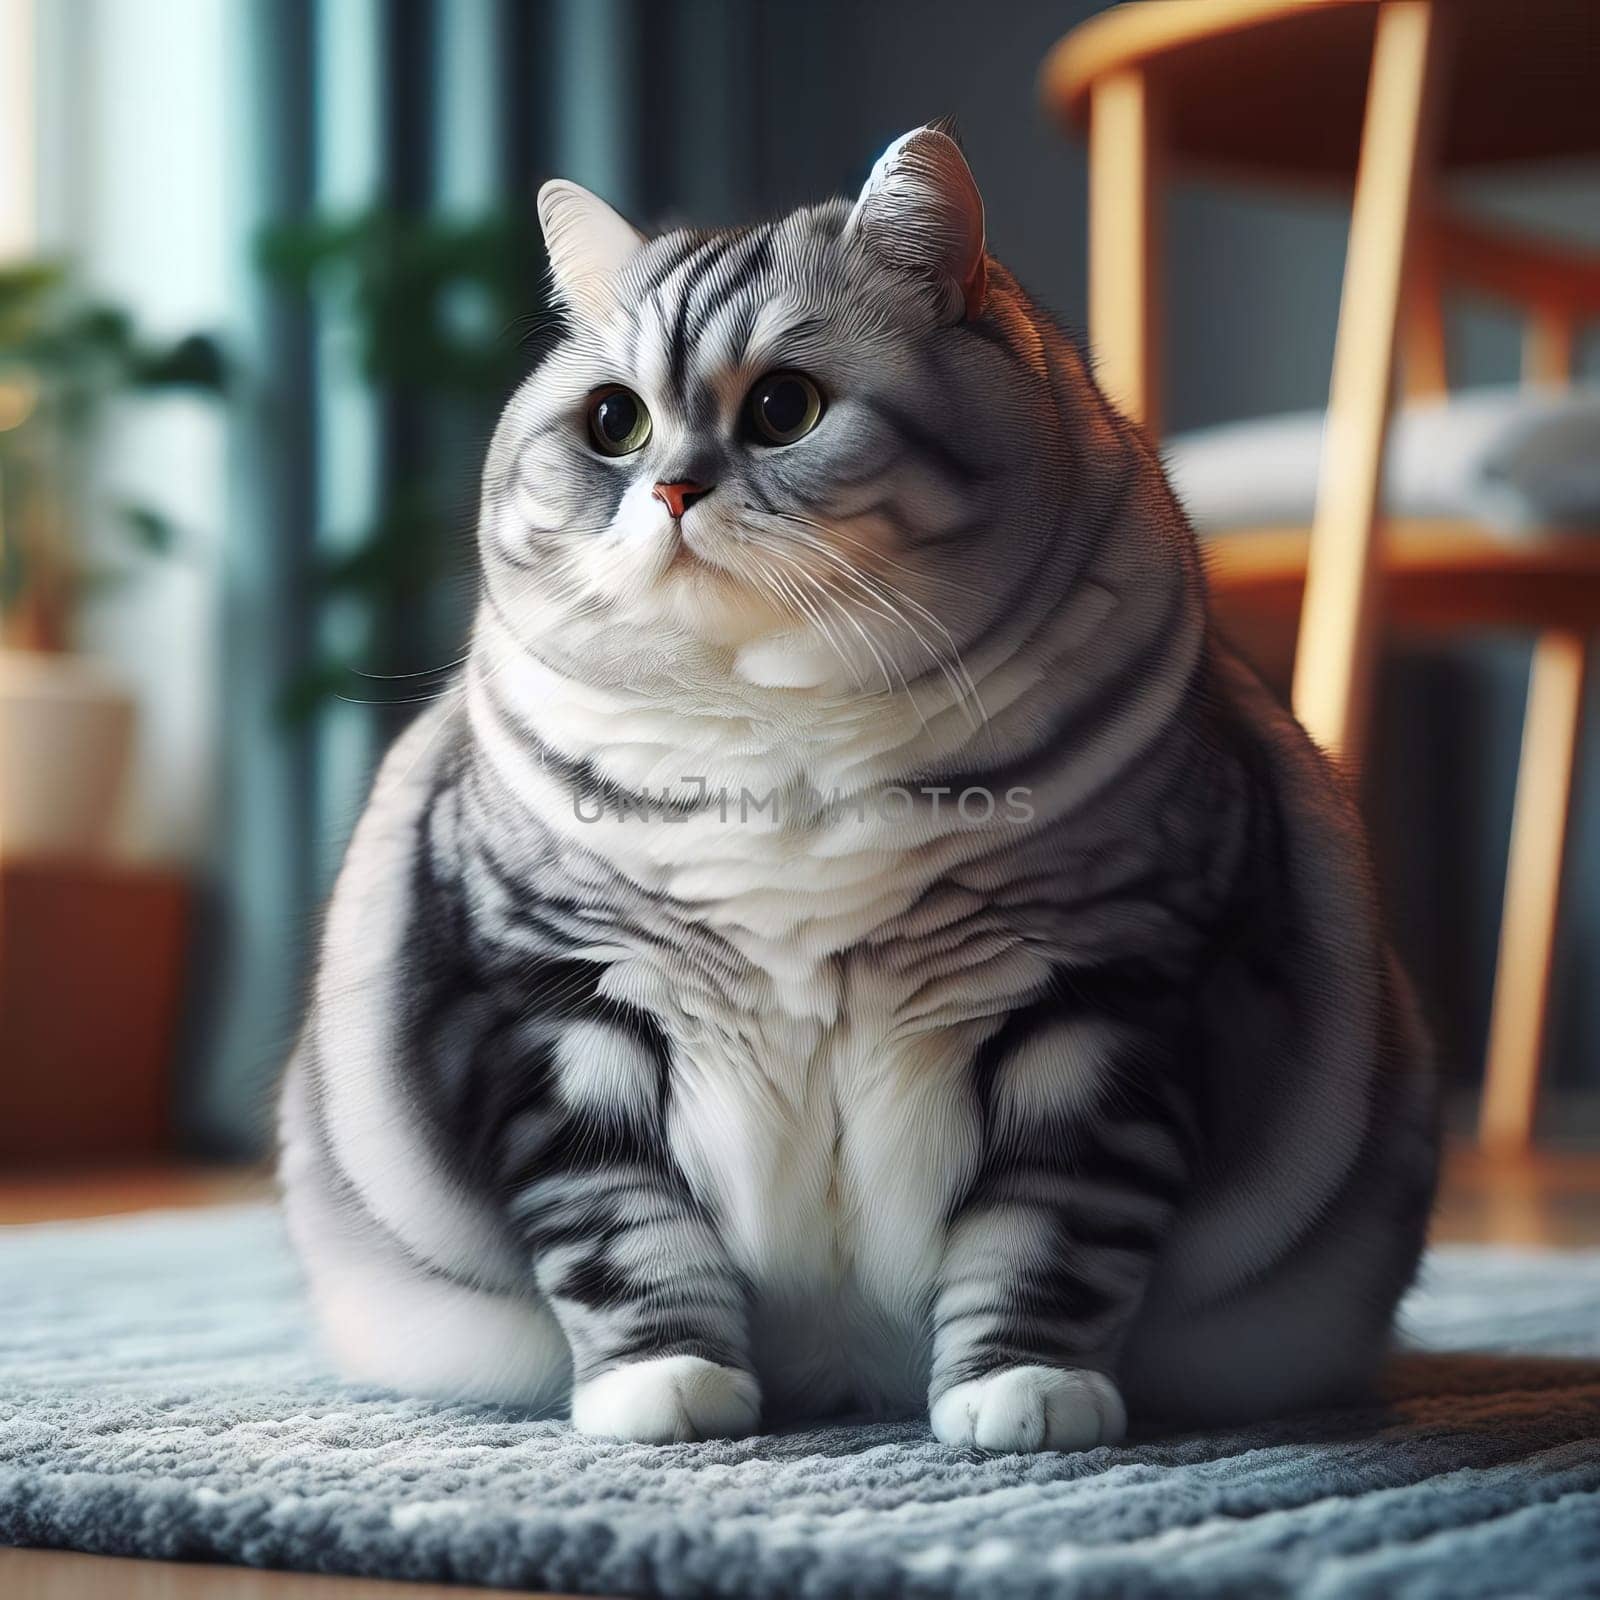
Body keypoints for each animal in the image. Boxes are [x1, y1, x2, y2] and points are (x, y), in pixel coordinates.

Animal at [281, 128, 1446, 1452]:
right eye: (614, 422)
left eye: (783, 408)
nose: (671, 490)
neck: (777, 739)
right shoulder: (546, 1005)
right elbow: (616, 1227)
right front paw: (665, 1389)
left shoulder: (1113, 995)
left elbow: (1056, 1231)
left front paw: (1024, 1395)